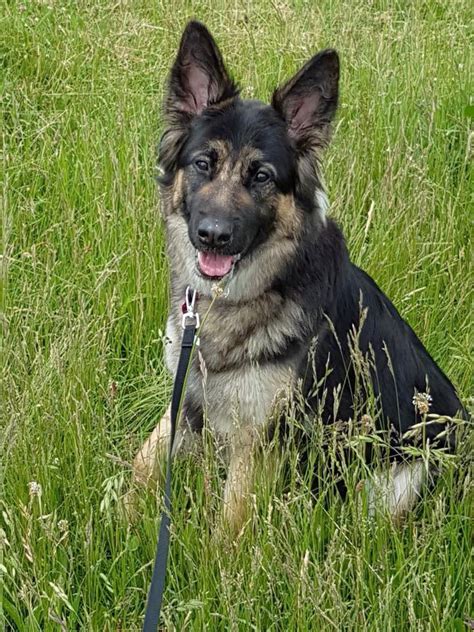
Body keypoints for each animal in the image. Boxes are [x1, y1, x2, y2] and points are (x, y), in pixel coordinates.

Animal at [129, 21, 462, 528]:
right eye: (203, 163)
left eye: (262, 176)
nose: (213, 236)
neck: (241, 299)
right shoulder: (185, 398)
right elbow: (142, 465)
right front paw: (116, 520)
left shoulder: (257, 444)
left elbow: (228, 526)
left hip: (395, 483)